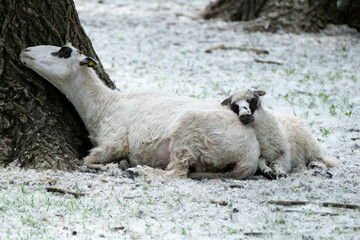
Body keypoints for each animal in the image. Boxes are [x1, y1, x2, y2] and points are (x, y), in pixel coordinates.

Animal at [19, 43, 260, 180]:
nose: (24, 51)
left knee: (177, 173)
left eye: (63, 52)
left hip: (188, 134)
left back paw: (140, 171)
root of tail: (251, 154)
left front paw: (114, 167)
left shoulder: (116, 142)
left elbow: (87, 160)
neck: (104, 105)